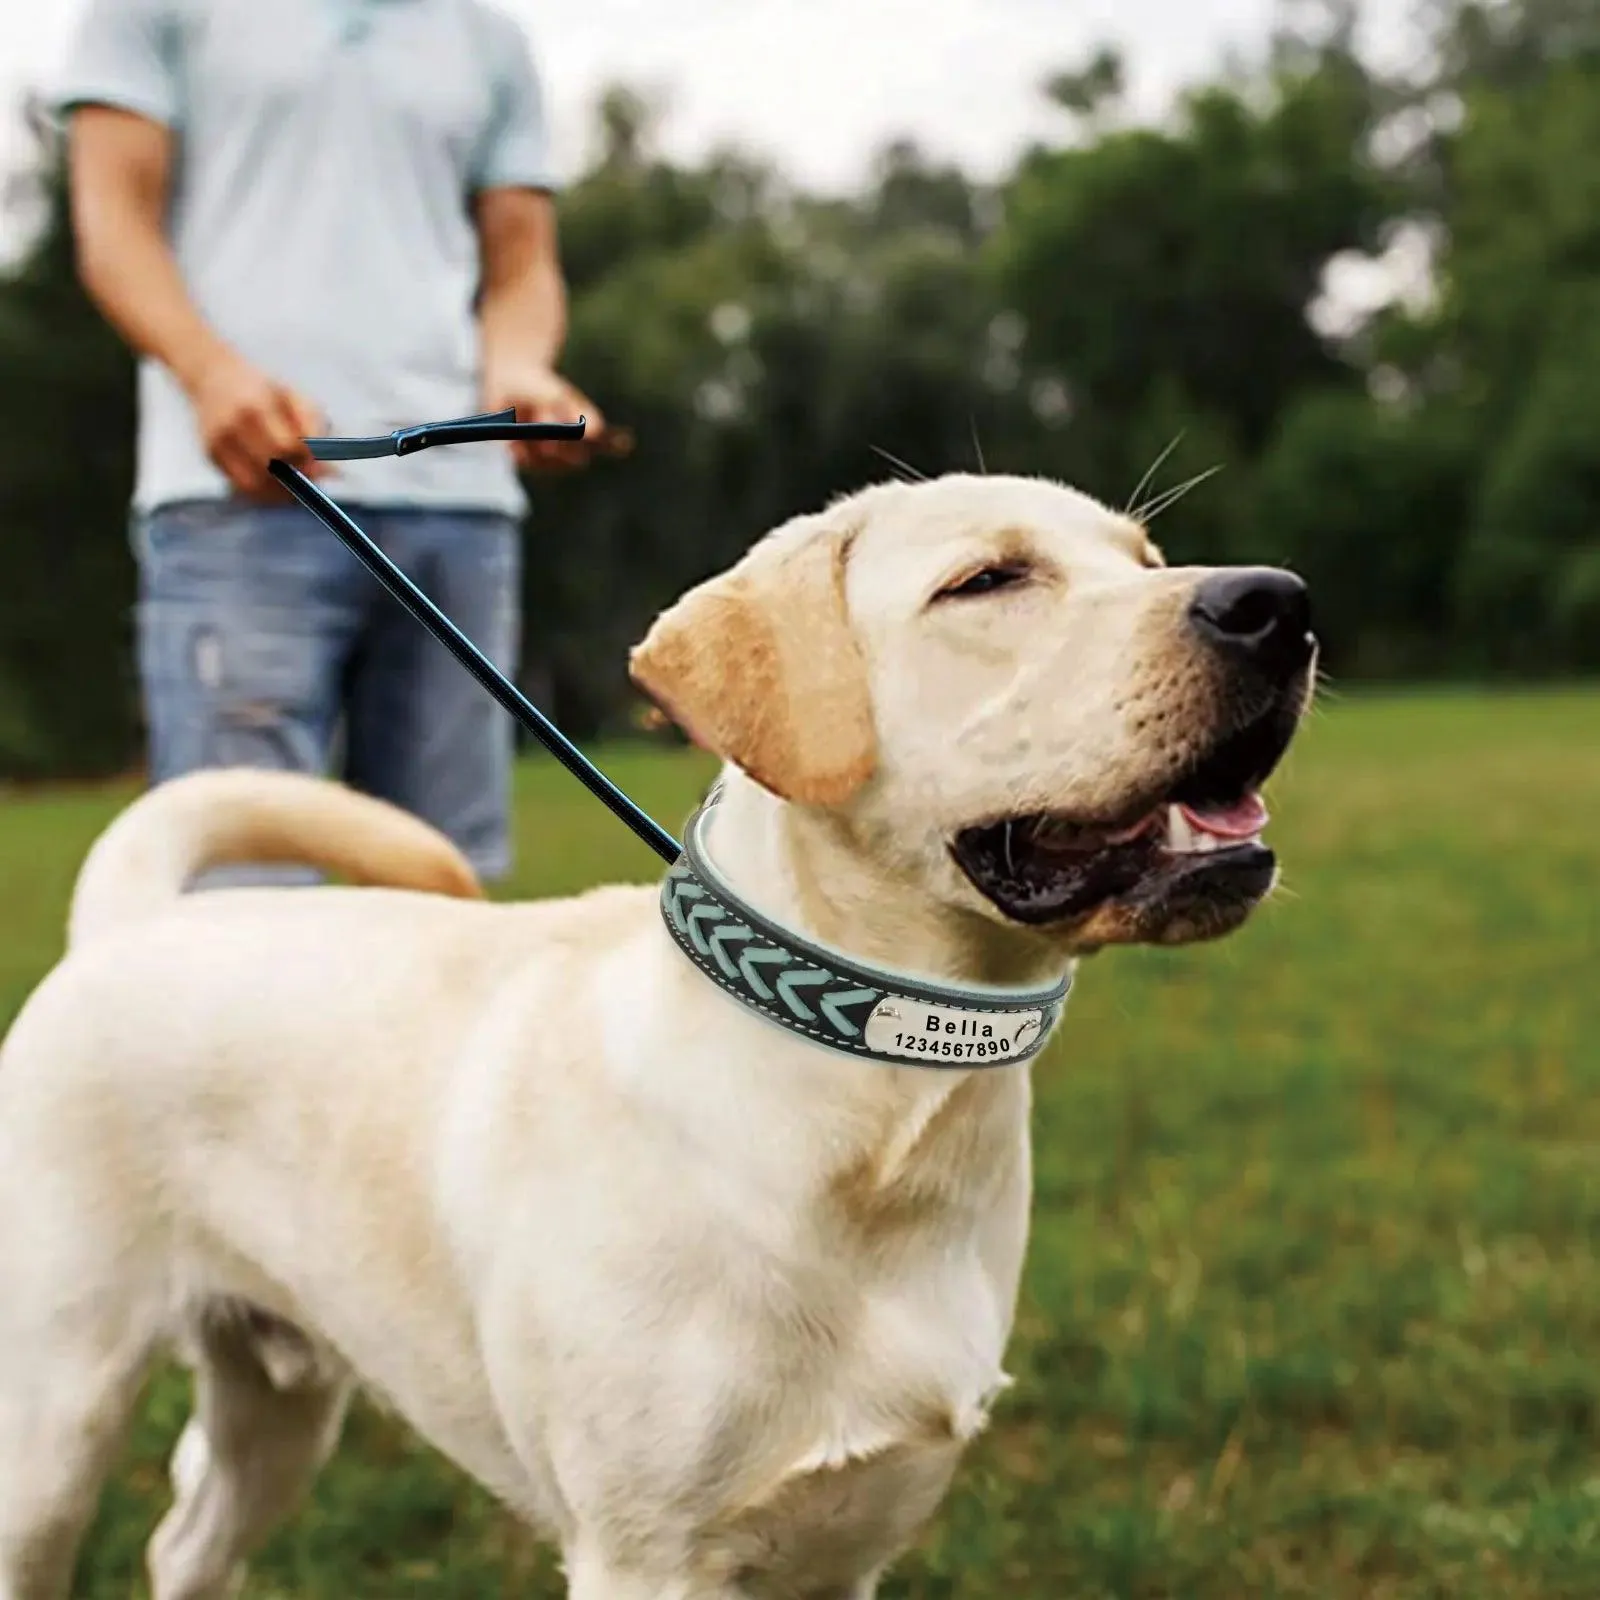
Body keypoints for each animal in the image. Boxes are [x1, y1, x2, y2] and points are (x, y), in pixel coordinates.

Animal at [0, 473, 1312, 1600]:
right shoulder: (644, 1553)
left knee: (182, 1545)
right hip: (52, 1420)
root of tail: (129, 921)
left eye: (1144, 559)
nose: (1278, 605)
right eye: (987, 580)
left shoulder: (847, 1548)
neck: (877, 1106)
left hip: (277, 1405)